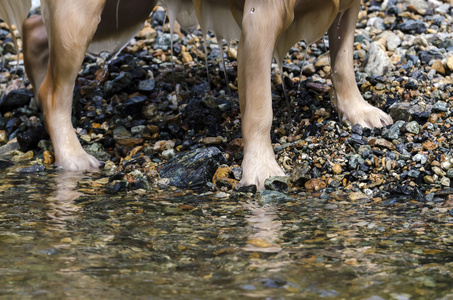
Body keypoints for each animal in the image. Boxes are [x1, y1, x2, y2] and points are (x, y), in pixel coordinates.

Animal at [0, 0, 390, 189]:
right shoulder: (259, 17)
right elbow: (260, 108)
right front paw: (261, 168)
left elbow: (342, 60)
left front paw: (358, 111)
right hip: (84, 13)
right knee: (55, 90)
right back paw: (71, 155)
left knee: (35, 30)